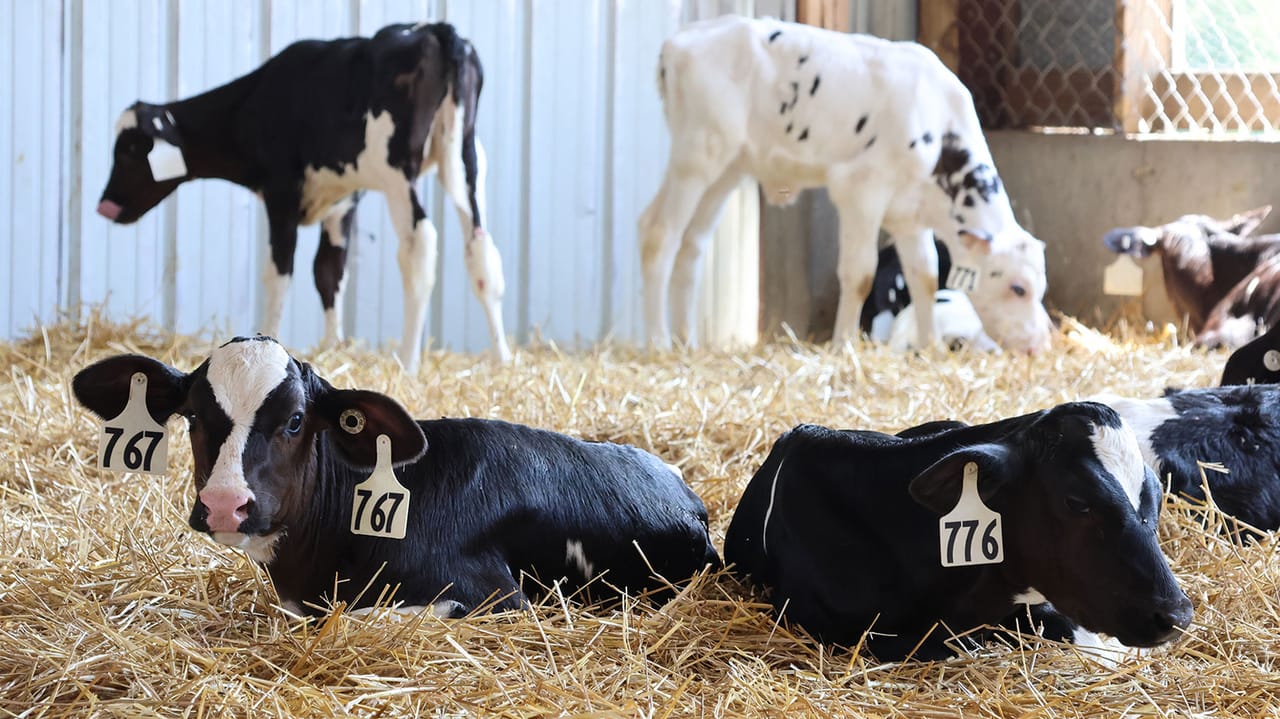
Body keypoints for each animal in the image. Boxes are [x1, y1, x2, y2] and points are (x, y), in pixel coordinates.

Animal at [95, 22, 510, 372]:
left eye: (129, 150)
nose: (104, 204)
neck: (255, 101)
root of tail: (437, 30)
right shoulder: (344, 200)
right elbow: (329, 271)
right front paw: (334, 346)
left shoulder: (281, 192)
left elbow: (279, 272)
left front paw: (267, 341)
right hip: (468, 160)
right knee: (480, 251)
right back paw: (502, 357)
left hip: (398, 175)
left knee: (419, 247)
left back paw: (407, 361)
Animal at [638, 16, 1052, 354]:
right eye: (1018, 288)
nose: (1038, 344)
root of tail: (680, 41)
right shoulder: (861, 189)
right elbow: (860, 273)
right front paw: (843, 346)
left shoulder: (909, 213)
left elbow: (926, 276)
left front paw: (932, 347)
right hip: (698, 154)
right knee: (659, 232)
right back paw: (658, 344)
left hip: (728, 169)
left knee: (692, 245)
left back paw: (687, 344)